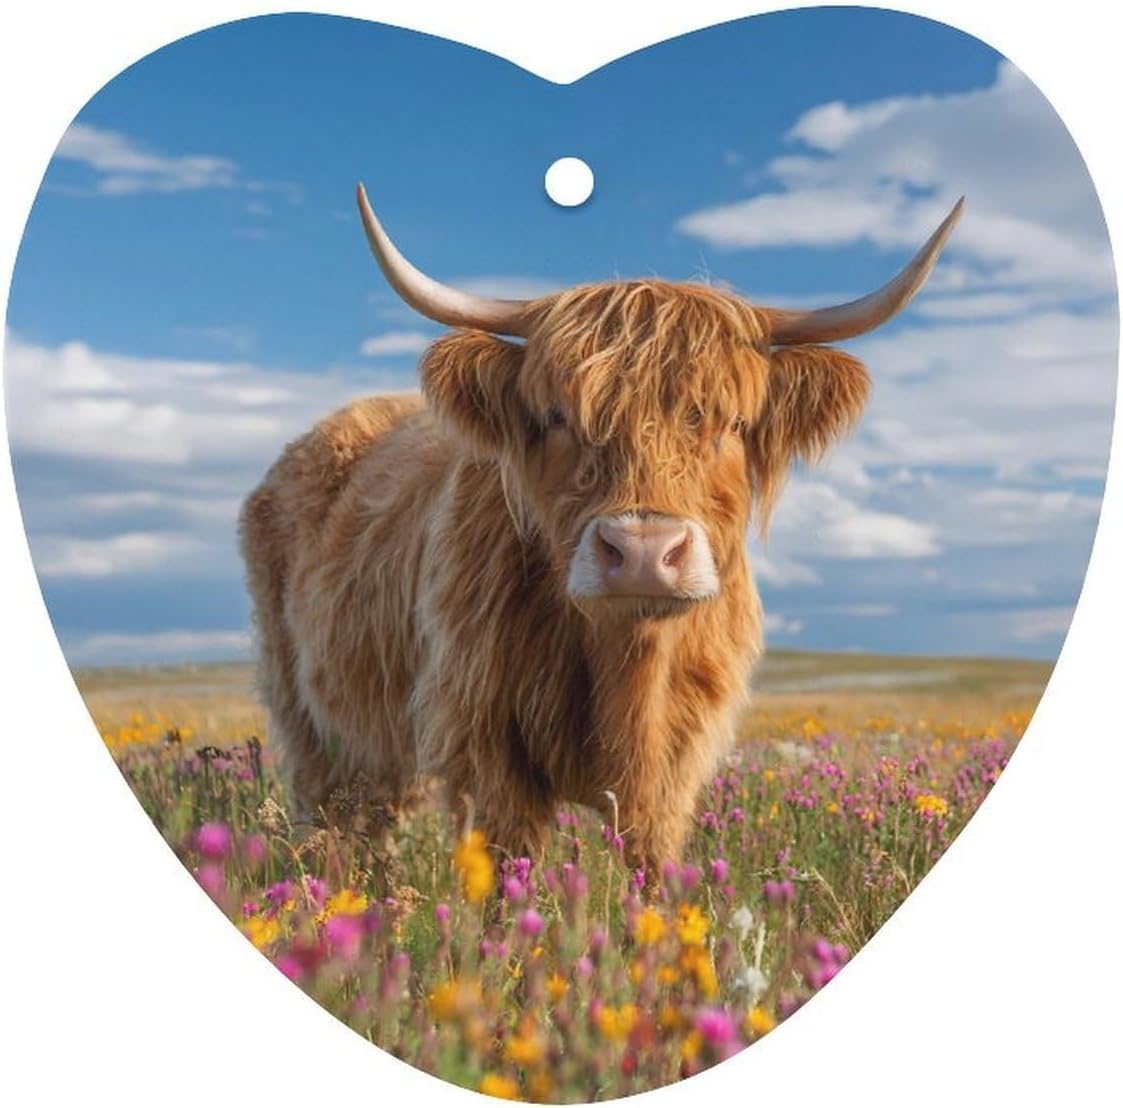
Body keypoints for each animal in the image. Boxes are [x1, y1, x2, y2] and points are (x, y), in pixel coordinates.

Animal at [239, 185, 963, 873]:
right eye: (558, 416)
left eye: (731, 424)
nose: (642, 552)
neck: (624, 662)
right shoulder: (489, 750)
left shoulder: (674, 766)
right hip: (308, 720)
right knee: (327, 820)